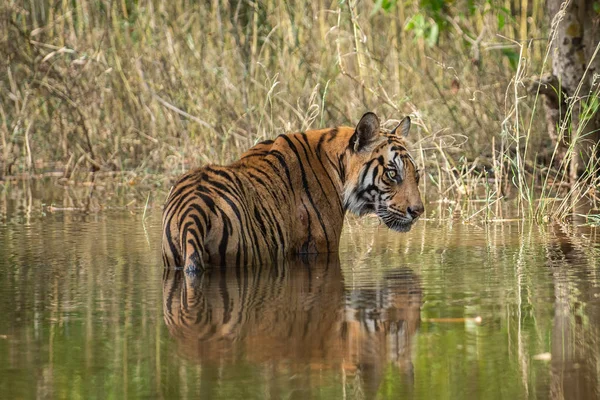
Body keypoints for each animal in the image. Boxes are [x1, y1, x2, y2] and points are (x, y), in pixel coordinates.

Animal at [162, 111, 424, 270]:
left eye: (417, 175)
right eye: (392, 174)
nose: (418, 211)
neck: (337, 166)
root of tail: (193, 211)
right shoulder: (322, 247)